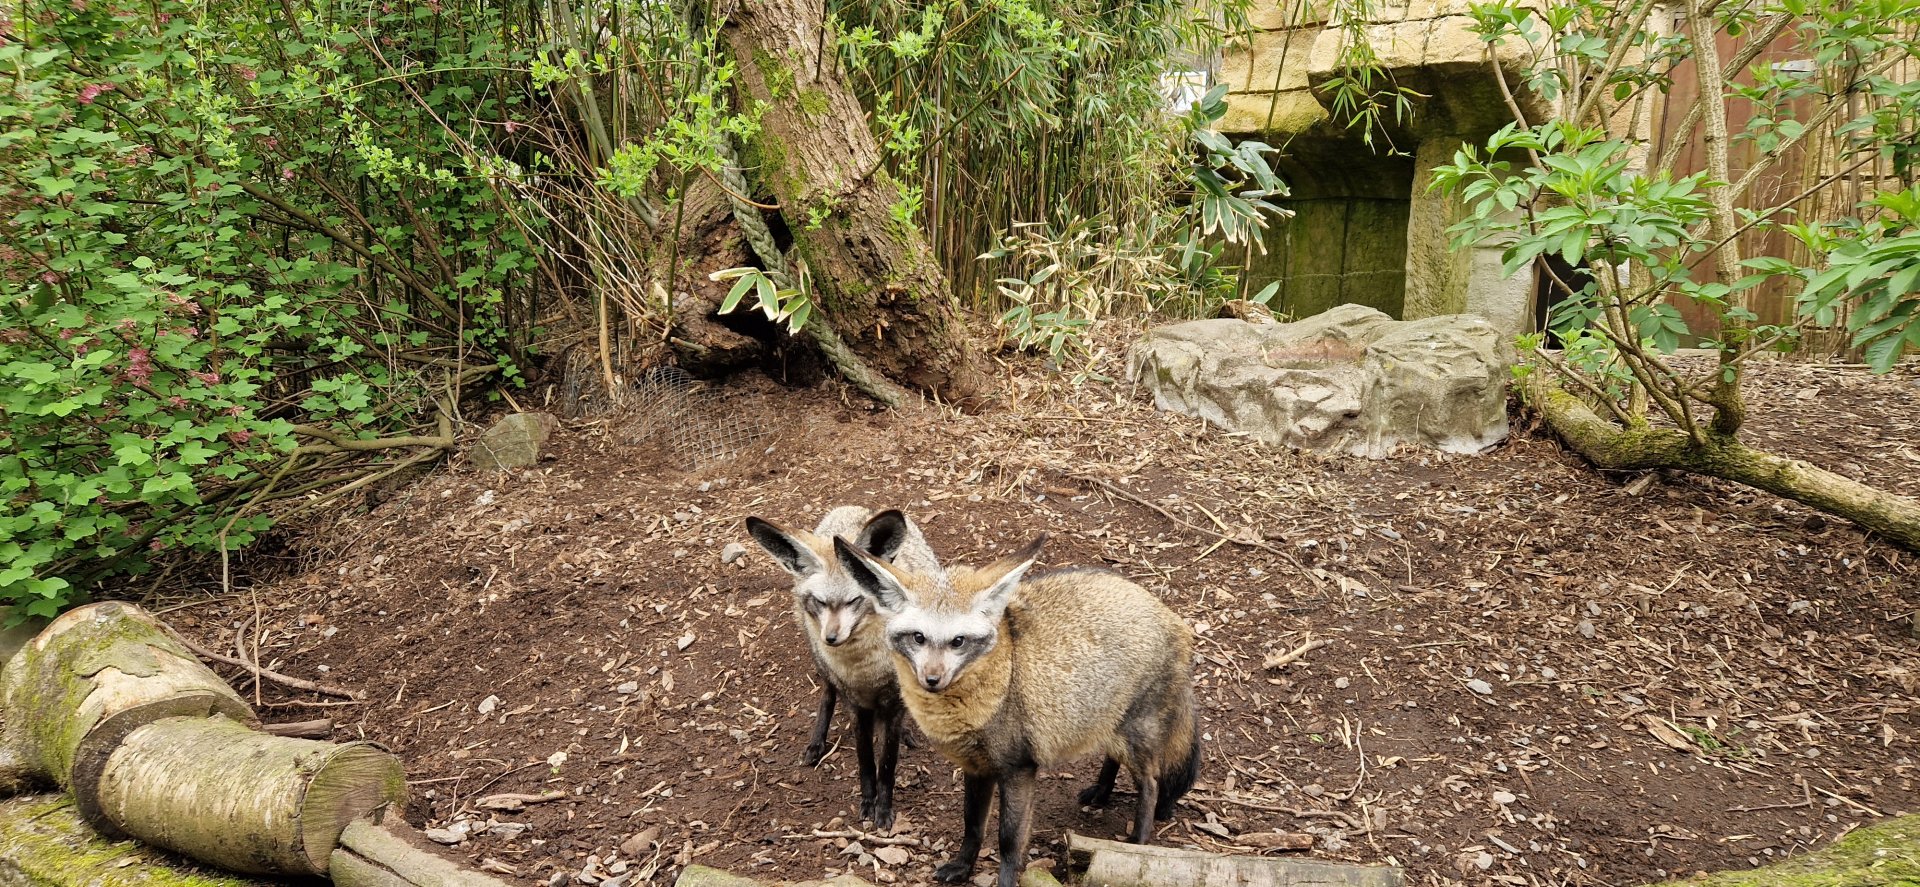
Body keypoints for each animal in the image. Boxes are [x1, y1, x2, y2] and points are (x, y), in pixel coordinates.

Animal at [744, 507, 938, 829]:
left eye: (855, 600)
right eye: (820, 602)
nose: (832, 638)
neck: (866, 671)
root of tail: (852, 509)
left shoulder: (893, 702)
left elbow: (887, 765)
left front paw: (884, 810)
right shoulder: (856, 705)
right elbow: (866, 762)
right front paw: (868, 803)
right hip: (821, 663)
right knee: (827, 694)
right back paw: (816, 742)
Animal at [832, 527, 1200, 887]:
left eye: (958, 641)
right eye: (918, 638)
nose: (932, 679)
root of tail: (1170, 616)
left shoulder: (1019, 769)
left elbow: (1009, 841)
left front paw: (1004, 880)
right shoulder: (977, 768)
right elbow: (972, 825)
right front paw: (963, 866)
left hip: (1135, 737)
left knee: (1151, 785)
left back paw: (1138, 844)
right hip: (1106, 721)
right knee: (1114, 758)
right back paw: (1101, 792)